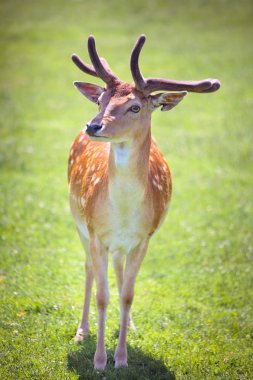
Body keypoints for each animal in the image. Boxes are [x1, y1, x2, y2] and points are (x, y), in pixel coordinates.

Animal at [68, 34, 220, 370]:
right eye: (101, 101)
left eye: (135, 107)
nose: (93, 126)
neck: (124, 213)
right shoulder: (95, 233)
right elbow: (102, 295)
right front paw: (100, 361)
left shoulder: (144, 238)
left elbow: (127, 295)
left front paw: (122, 358)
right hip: (78, 222)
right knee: (88, 269)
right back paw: (82, 331)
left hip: (120, 243)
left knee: (118, 267)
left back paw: (130, 324)